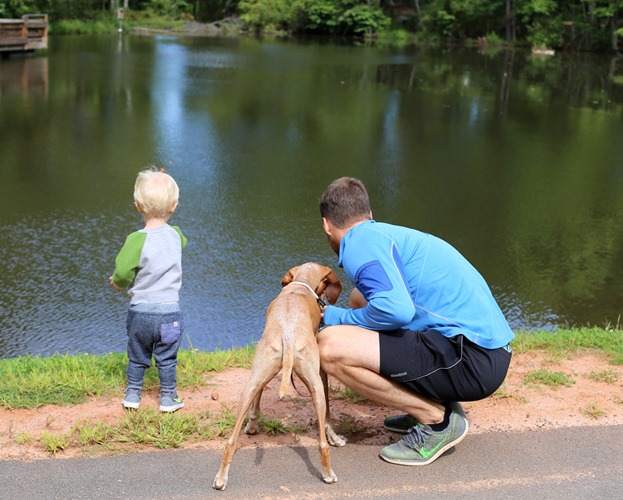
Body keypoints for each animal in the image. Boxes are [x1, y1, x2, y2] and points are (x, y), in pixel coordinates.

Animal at [214, 264, 348, 490]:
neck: (300, 286)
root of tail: (288, 334)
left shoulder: (260, 376)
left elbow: (257, 402)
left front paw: (251, 427)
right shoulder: (321, 374)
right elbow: (328, 416)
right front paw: (335, 438)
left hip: (254, 380)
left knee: (231, 440)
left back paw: (221, 478)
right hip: (314, 385)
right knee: (321, 442)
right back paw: (328, 474)